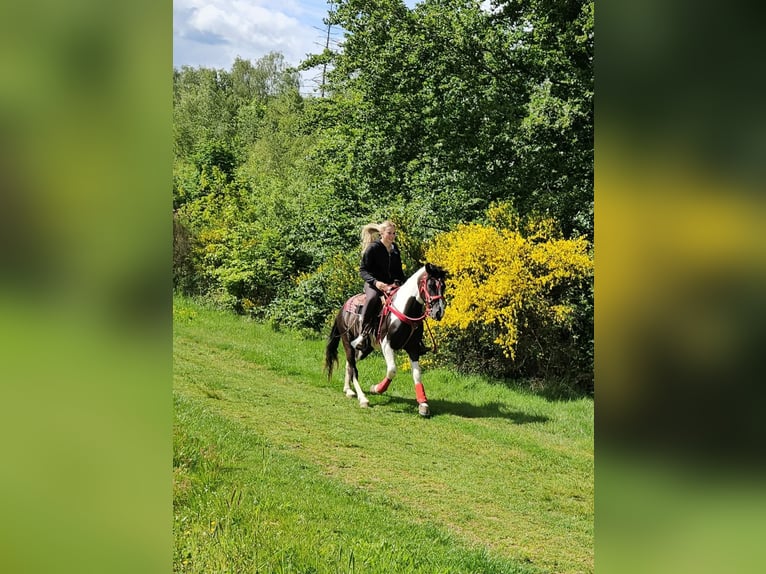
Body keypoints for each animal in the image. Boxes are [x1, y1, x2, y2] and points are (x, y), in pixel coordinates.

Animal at [324, 263, 447, 417]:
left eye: (443, 286)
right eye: (430, 284)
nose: (439, 312)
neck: (405, 309)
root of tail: (342, 309)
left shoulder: (413, 348)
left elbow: (417, 374)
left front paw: (423, 404)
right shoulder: (387, 345)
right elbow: (392, 370)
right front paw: (377, 388)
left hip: (364, 349)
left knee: (349, 364)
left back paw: (348, 390)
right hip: (347, 342)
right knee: (353, 367)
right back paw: (362, 398)